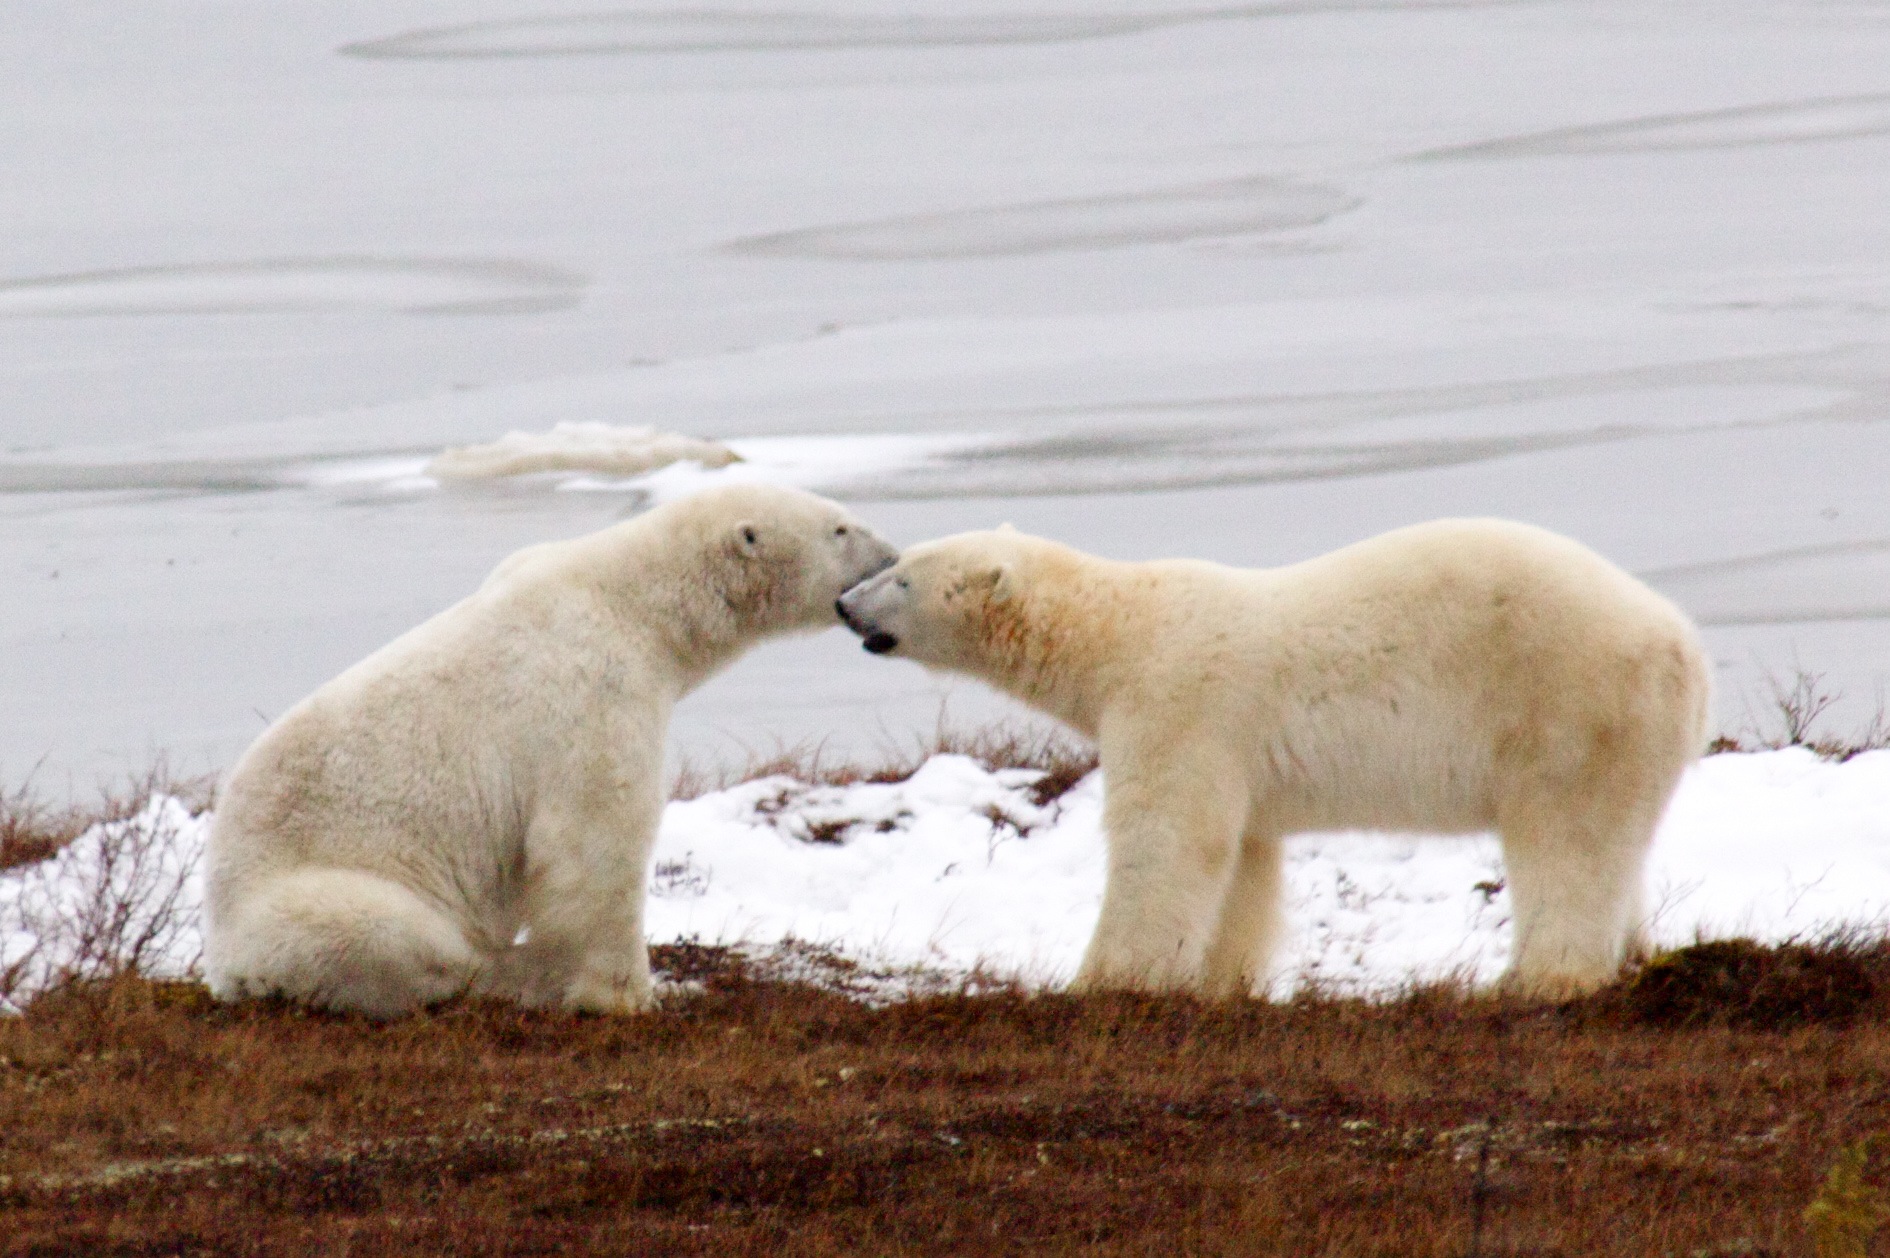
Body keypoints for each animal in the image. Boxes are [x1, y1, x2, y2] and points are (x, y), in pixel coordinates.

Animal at [204, 484, 898, 1018]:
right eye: (839, 528)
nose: (892, 554)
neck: (632, 600)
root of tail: (224, 965)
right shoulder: (594, 690)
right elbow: (596, 843)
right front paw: (628, 994)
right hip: (313, 896)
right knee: (402, 940)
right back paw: (515, 972)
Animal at [836, 519, 1711, 998]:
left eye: (902, 576)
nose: (844, 605)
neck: (1118, 634)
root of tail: (1685, 648)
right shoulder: (1229, 751)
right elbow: (1242, 858)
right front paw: (1224, 978)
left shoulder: (1177, 703)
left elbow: (1166, 839)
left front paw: (1104, 979)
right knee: (1617, 845)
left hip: (1570, 709)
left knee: (1567, 841)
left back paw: (1541, 976)